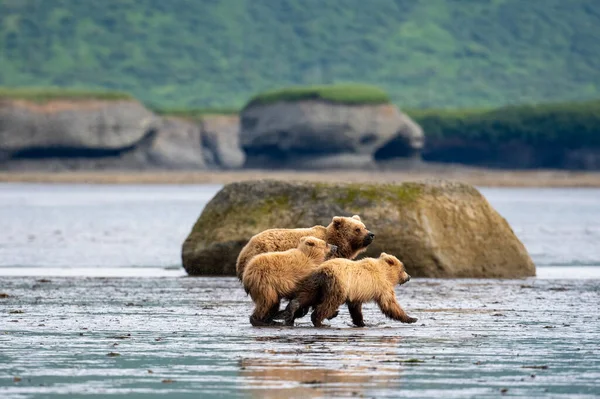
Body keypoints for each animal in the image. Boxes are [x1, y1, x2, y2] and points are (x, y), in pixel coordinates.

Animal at [282, 253, 418, 328]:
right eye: (403, 269)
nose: (409, 277)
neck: (386, 273)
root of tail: (324, 271)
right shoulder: (382, 286)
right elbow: (389, 304)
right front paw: (411, 318)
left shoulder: (356, 292)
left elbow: (355, 308)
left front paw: (361, 322)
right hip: (338, 286)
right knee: (329, 303)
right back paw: (320, 321)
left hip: (316, 284)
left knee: (306, 296)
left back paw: (291, 311)